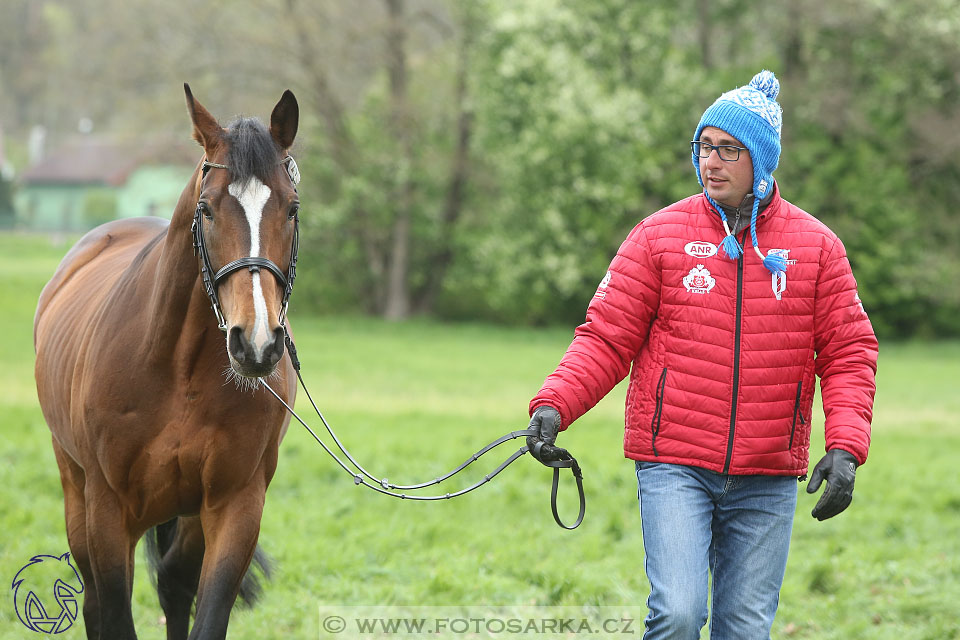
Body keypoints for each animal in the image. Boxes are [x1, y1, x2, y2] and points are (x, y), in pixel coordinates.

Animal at [35, 86, 300, 640]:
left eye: (291, 209)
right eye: (207, 209)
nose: (257, 343)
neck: (180, 371)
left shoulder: (236, 506)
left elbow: (206, 613)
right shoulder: (109, 512)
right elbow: (114, 614)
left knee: (174, 586)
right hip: (76, 491)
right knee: (95, 603)